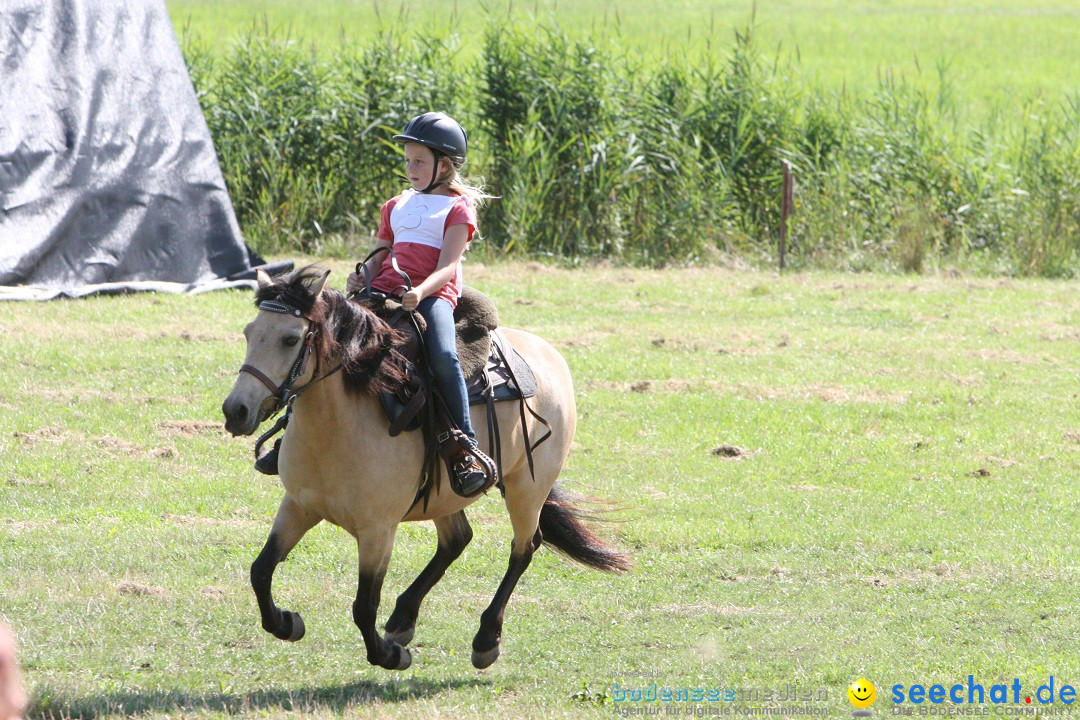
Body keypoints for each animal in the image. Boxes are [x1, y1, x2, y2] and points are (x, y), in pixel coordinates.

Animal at [219, 267, 630, 673]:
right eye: (249, 332)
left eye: (290, 339)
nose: (235, 410)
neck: (339, 425)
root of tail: (549, 354)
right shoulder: (299, 506)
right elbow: (261, 571)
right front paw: (286, 623)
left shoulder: (378, 531)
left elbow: (364, 607)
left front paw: (389, 656)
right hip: (444, 492)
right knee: (458, 539)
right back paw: (403, 618)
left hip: (528, 487)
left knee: (524, 547)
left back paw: (485, 639)